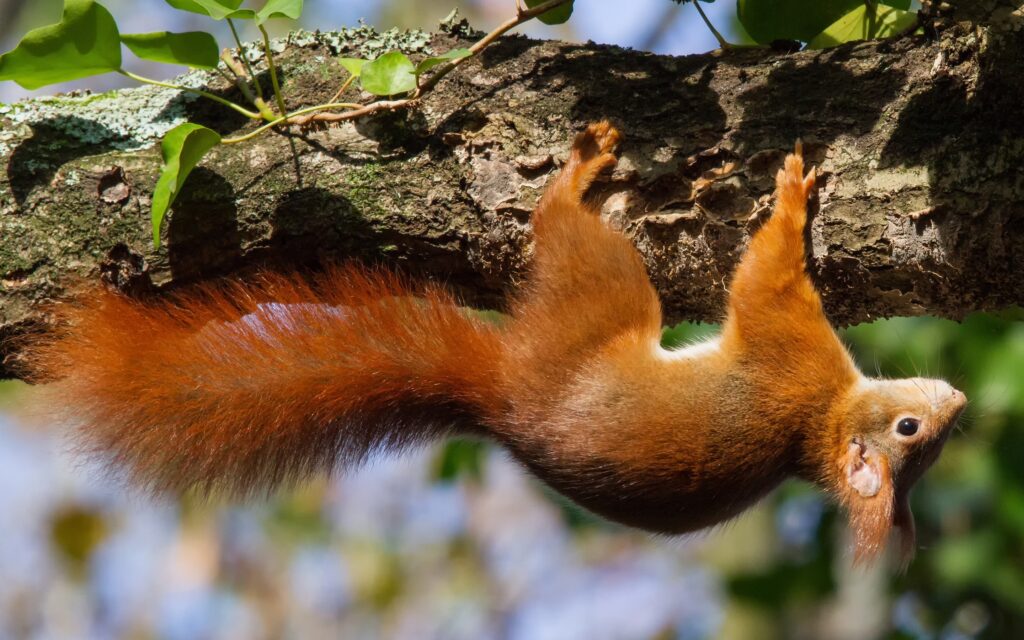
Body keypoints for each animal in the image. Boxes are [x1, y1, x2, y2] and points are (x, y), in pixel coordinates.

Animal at [29, 122, 966, 566]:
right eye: (913, 433)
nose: (957, 399)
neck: (823, 416)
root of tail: (501, 396)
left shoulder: (787, 344)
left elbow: (767, 277)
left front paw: (793, 197)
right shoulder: (793, 352)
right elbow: (768, 276)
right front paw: (799, 192)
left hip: (600, 294)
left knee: (568, 236)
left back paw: (573, 179)